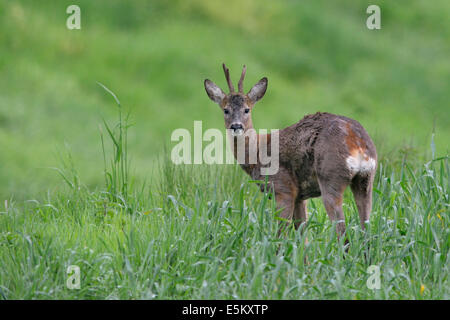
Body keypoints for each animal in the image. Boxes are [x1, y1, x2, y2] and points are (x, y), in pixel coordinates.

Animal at [204, 63, 376, 239]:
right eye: (226, 110)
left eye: (247, 109)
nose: (236, 126)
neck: (257, 153)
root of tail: (356, 142)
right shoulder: (300, 196)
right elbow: (302, 235)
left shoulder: (283, 189)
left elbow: (282, 233)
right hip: (366, 180)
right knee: (366, 229)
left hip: (331, 176)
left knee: (342, 231)